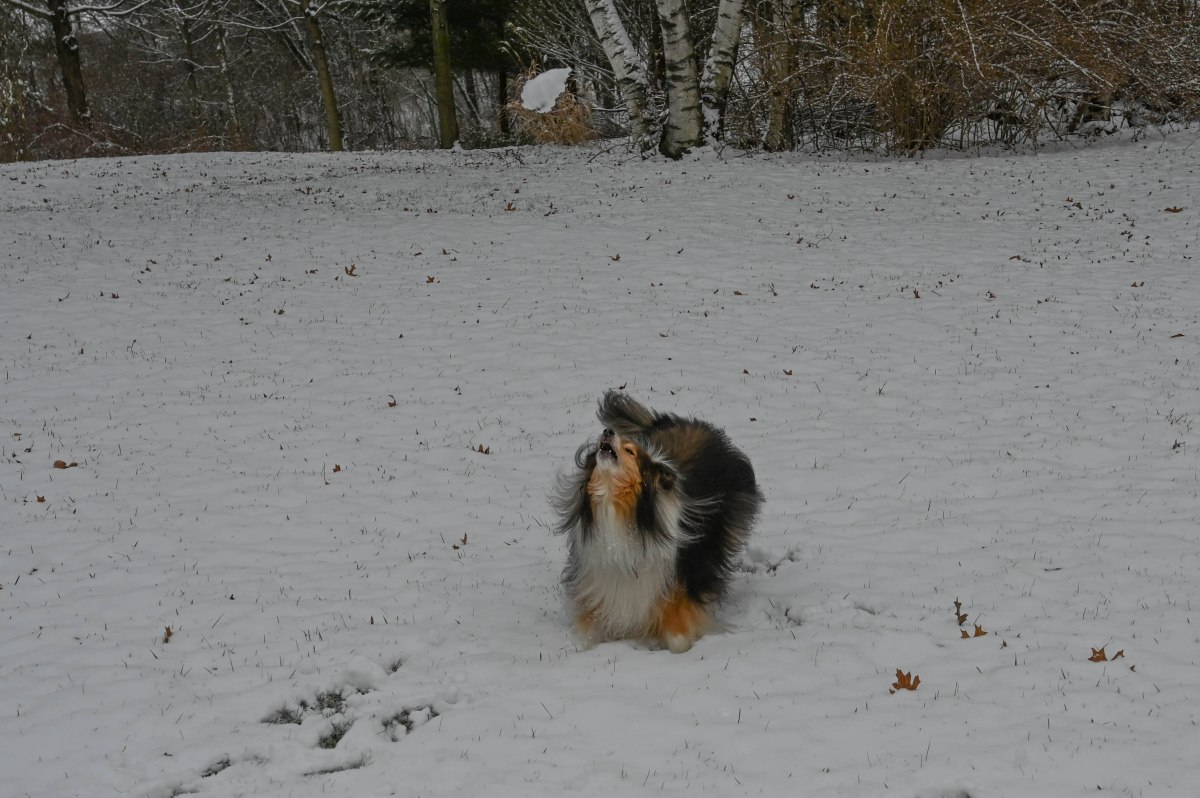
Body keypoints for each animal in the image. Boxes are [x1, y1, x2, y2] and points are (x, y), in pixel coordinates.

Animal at [552, 391, 763, 652]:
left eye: (630, 451)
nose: (608, 432)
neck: (619, 508)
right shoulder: (599, 576)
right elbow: (589, 628)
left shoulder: (675, 579)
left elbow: (678, 636)